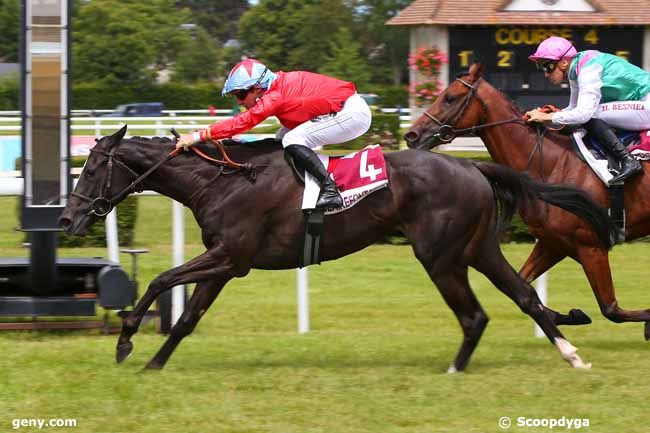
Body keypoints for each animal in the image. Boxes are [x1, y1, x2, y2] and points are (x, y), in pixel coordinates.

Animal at [58, 125, 612, 372]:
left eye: (92, 168)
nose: (67, 219)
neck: (221, 181)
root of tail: (471, 164)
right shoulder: (227, 263)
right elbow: (188, 316)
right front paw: (154, 364)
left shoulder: (231, 256)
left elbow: (159, 279)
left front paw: (126, 339)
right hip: (478, 249)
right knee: (525, 296)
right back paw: (571, 354)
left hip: (440, 255)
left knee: (475, 315)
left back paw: (456, 368)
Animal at [402, 62, 648, 340]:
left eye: (450, 98)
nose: (412, 135)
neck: (554, 163)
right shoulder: (554, 243)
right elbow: (525, 285)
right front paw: (572, 315)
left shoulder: (591, 246)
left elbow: (611, 309)